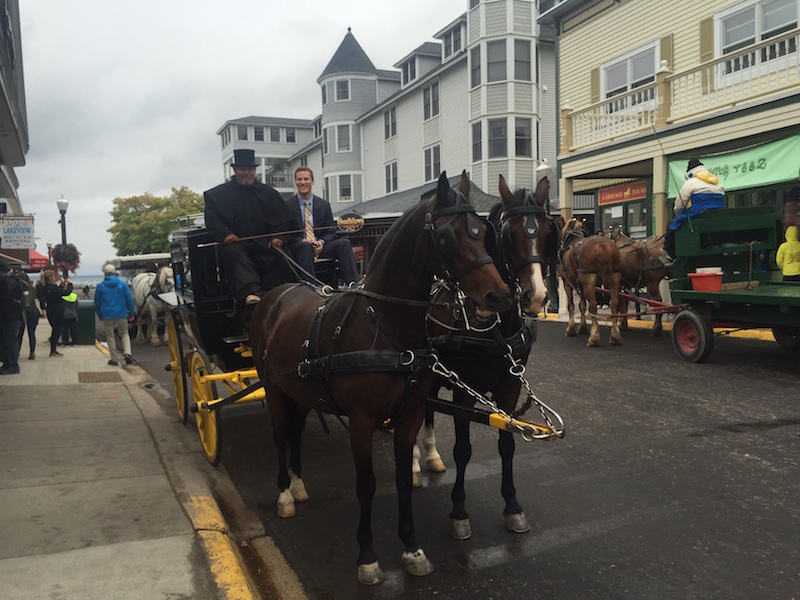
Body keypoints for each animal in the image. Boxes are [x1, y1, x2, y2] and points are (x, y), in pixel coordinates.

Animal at [250, 171, 512, 584]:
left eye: (482, 232)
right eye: (447, 237)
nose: (499, 295)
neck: (385, 326)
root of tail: (274, 295)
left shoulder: (410, 415)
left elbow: (404, 479)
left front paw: (412, 548)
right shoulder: (361, 422)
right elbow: (367, 485)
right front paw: (368, 557)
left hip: (302, 390)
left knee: (295, 430)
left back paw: (298, 482)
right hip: (275, 389)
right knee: (280, 435)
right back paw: (284, 494)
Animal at [418, 173, 564, 540]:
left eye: (547, 230)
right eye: (509, 234)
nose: (537, 295)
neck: (494, 328)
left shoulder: (509, 387)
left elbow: (507, 442)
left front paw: (513, 507)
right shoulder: (463, 392)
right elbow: (463, 450)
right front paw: (458, 512)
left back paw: (431, 457)